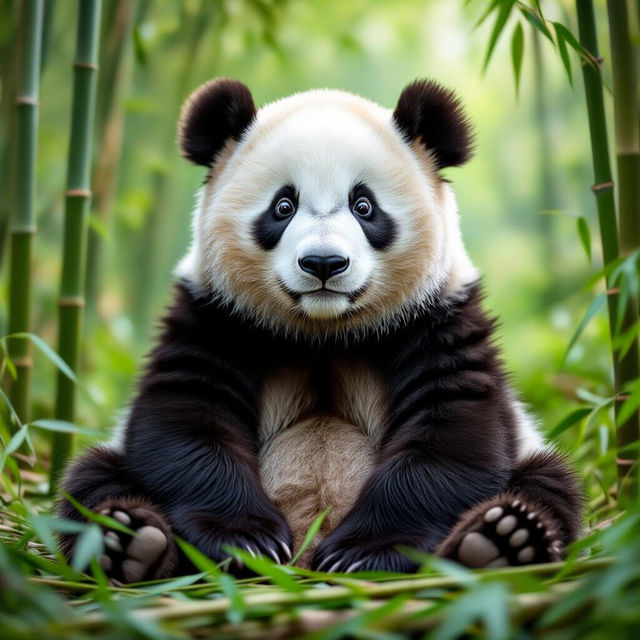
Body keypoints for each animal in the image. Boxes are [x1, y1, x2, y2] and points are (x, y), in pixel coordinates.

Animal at [58, 78, 581, 583]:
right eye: (283, 206)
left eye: (364, 206)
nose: (324, 263)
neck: (322, 330)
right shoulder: (216, 316)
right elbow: (186, 422)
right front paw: (247, 541)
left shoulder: (436, 319)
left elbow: (451, 433)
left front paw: (362, 552)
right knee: (90, 480)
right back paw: (127, 543)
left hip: (532, 451)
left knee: (549, 483)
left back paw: (499, 544)